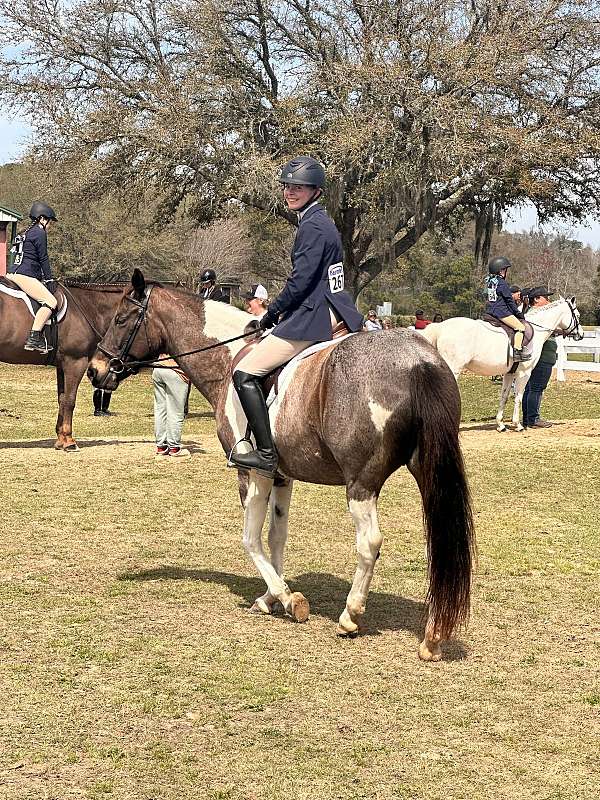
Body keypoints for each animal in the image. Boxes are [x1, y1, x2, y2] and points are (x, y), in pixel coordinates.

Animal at [0, 279, 125, 450]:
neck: (89, 306)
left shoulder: (62, 365)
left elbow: (62, 399)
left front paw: (61, 439)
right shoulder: (75, 362)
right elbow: (70, 400)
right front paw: (69, 441)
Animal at [87, 269, 476, 661]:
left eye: (121, 319)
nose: (94, 370)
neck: (228, 359)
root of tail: (418, 360)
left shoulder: (253, 471)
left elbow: (250, 538)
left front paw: (286, 599)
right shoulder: (281, 476)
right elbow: (277, 535)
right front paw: (270, 596)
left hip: (361, 484)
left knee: (370, 543)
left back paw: (350, 616)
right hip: (427, 472)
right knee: (439, 542)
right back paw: (433, 636)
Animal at [421, 298, 583, 432]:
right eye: (577, 315)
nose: (581, 335)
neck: (536, 330)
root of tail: (441, 327)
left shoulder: (509, 373)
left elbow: (504, 396)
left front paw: (500, 425)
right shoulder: (524, 373)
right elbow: (518, 397)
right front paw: (518, 425)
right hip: (452, 370)